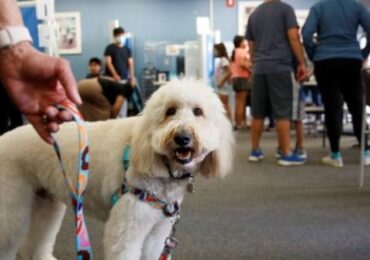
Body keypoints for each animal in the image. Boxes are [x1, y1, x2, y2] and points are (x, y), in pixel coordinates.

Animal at [0, 79, 234, 260]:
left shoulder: (157, 232)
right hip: (12, 207)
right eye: (170, 111)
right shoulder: (127, 227)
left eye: (198, 111)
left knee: (34, 245)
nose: (182, 137)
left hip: (46, 203)